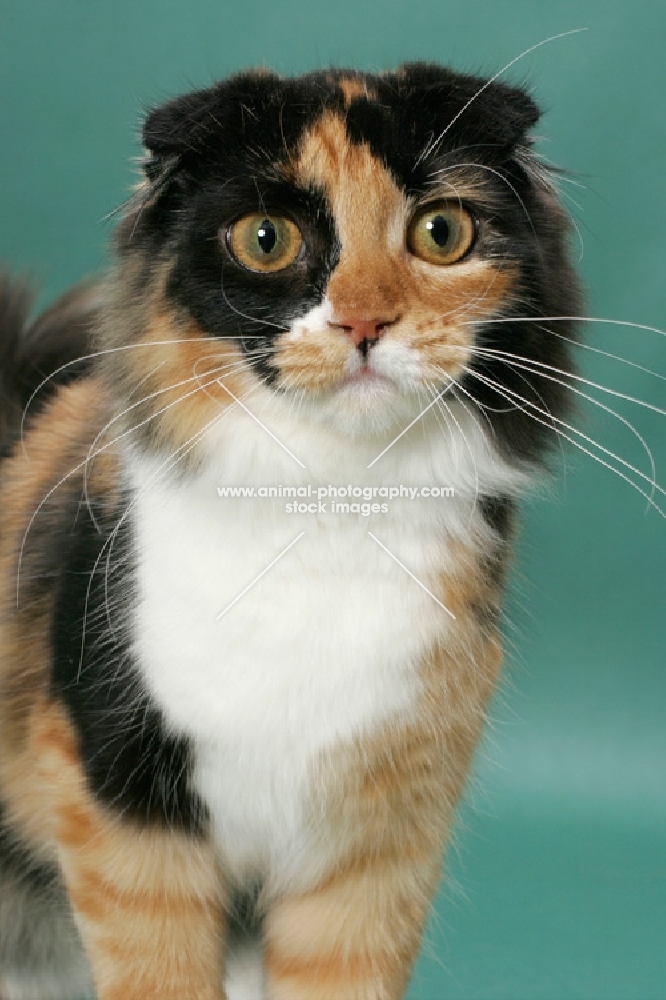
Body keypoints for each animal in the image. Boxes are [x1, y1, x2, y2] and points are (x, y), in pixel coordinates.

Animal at [0, 64, 576, 1000]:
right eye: (266, 239)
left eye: (442, 232)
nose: (365, 323)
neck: (330, 506)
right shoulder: (122, 799)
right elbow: (159, 974)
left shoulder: (375, 839)